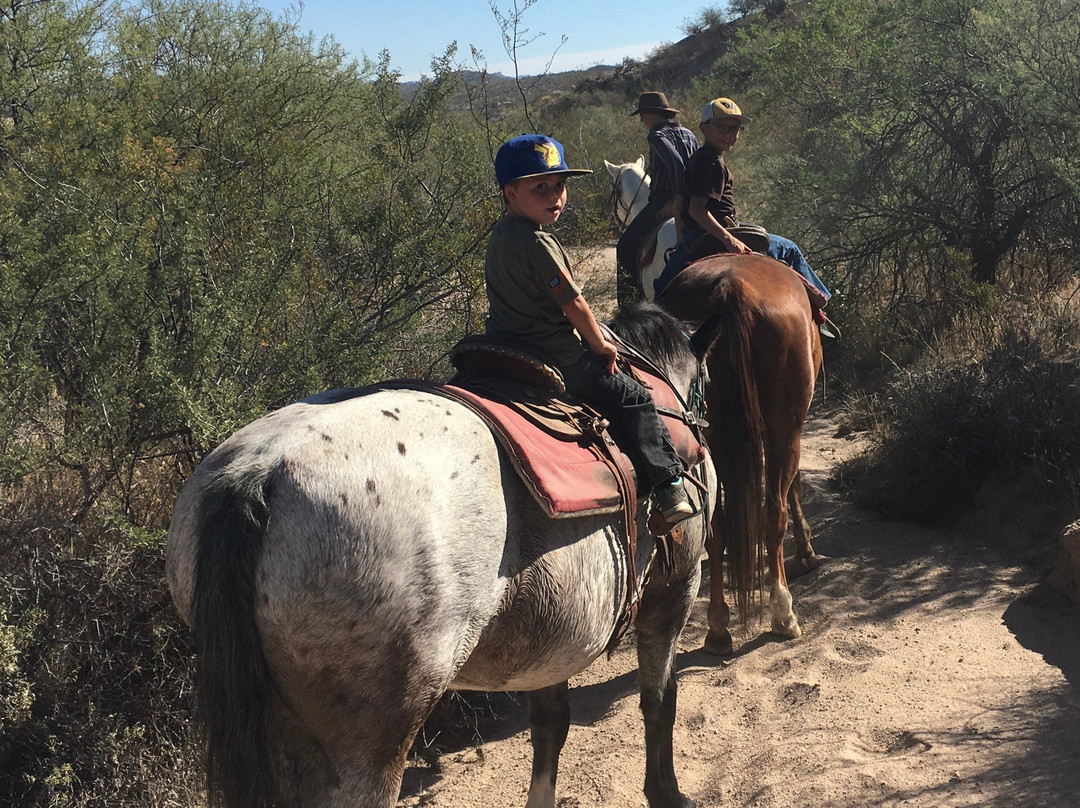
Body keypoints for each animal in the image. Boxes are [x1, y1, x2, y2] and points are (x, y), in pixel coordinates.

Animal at [165, 304, 722, 808]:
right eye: (705, 382)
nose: (702, 422)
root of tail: (259, 473)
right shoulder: (676, 590)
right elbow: (659, 699)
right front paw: (666, 792)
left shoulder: (554, 637)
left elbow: (551, 726)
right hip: (370, 741)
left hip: (284, 722)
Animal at [656, 255, 824, 656]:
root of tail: (731, 289)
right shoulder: (790, 428)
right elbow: (793, 486)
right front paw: (807, 551)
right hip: (784, 426)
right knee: (773, 513)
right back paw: (783, 614)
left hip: (709, 435)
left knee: (715, 528)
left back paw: (718, 627)